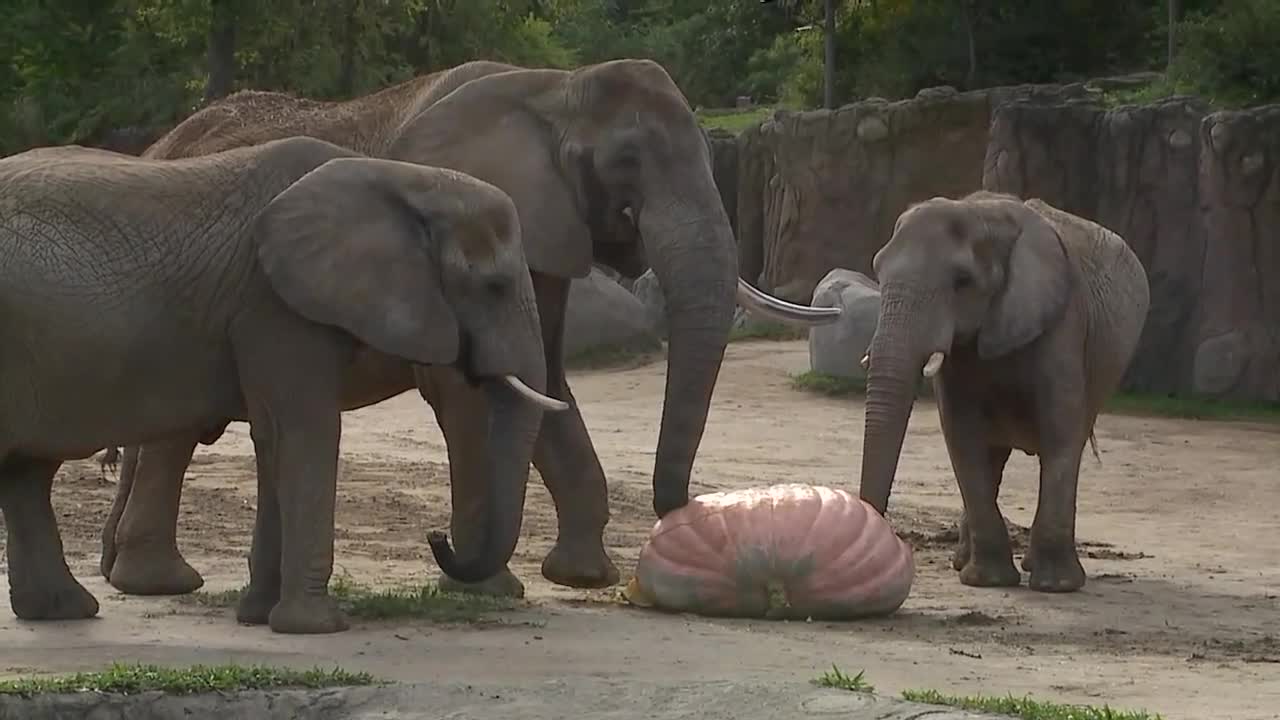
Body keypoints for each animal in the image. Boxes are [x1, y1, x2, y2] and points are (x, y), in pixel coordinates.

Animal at [0, 137, 565, 630]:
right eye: (494, 285)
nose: (435, 537)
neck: (407, 179)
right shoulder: (273, 305)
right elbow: (307, 431)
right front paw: (318, 628)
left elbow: (273, 438)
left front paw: (257, 616)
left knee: (28, 472)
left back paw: (64, 611)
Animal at [860, 188, 1152, 591]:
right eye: (877, 269)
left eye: (962, 280)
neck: (983, 215)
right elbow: (962, 435)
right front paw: (986, 581)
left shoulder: (1063, 323)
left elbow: (1060, 430)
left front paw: (1056, 586)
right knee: (992, 458)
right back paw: (962, 562)